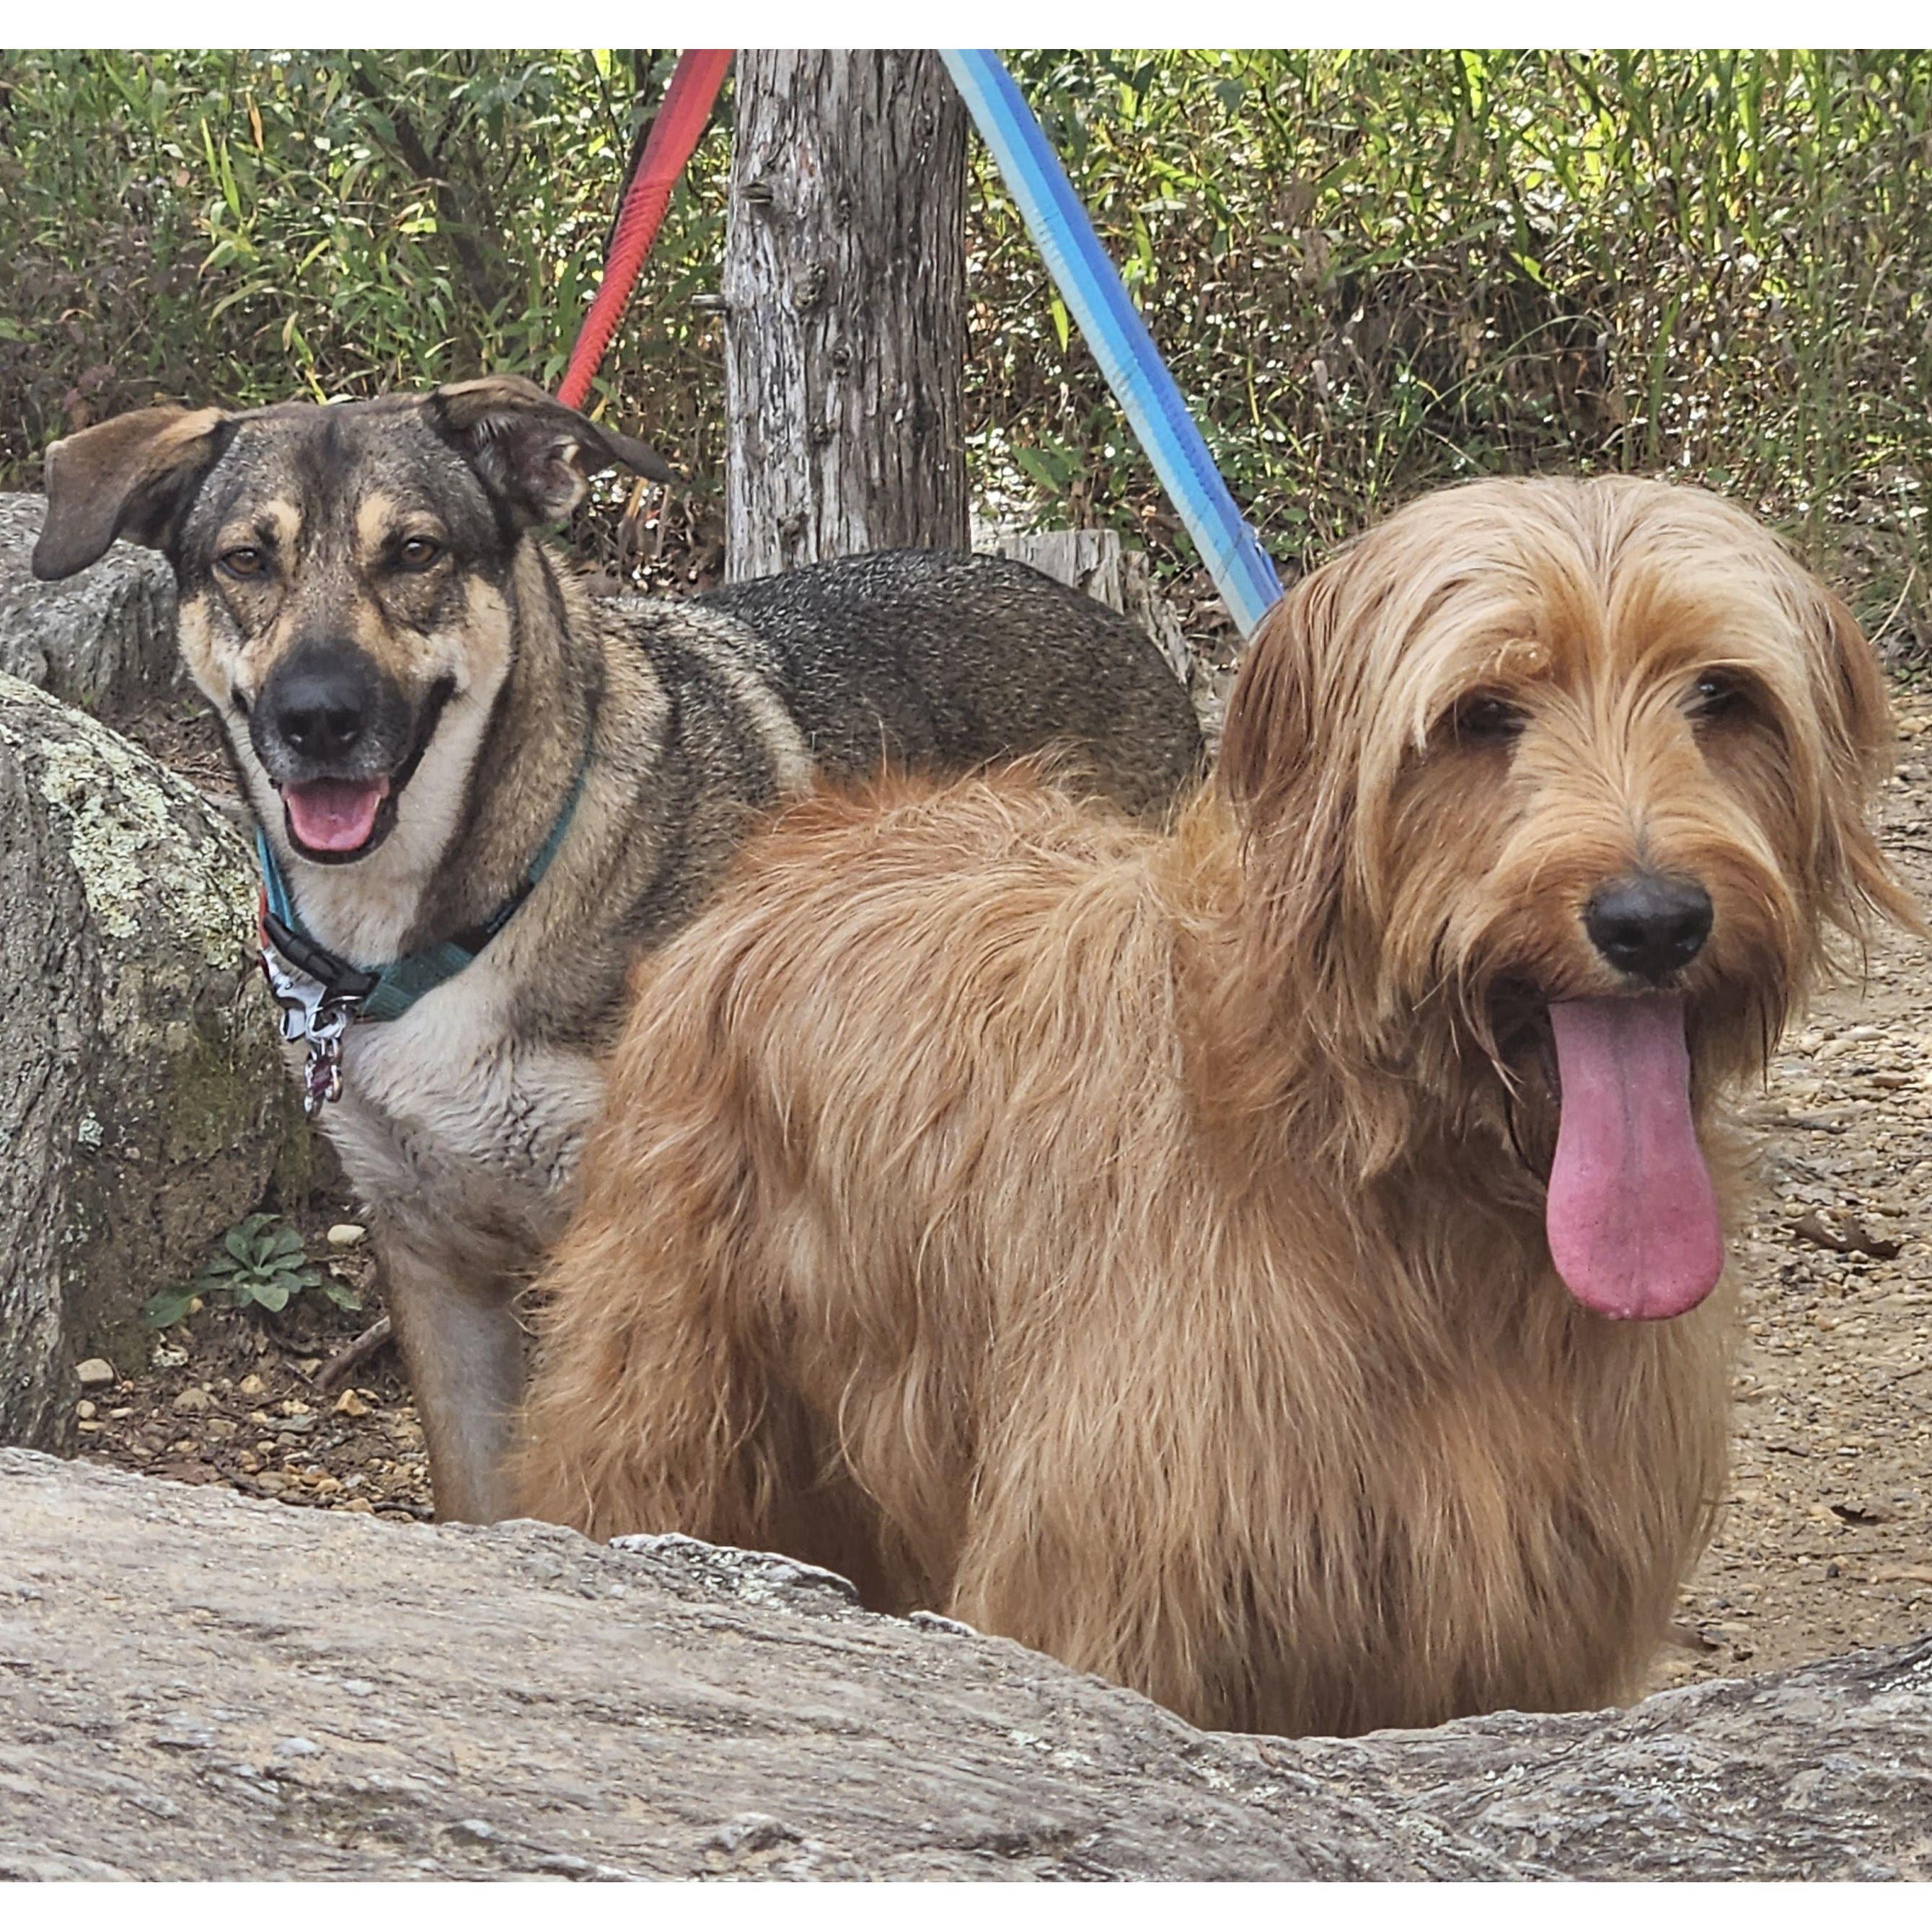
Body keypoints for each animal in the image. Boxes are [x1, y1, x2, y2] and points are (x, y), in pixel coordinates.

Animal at [38, 380, 1197, 1522]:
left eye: (414, 552)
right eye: (245, 559)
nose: (317, 717)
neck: (453, 921)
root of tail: (1117, 627)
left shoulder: (631, 1265)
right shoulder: (432, 1256)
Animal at [513, 479, 1916, 1739]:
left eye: (1721, 695)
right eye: (1479, 712)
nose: (1651, 920)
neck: (1399, 1179)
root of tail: (824, 824)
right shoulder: (1121, 1600)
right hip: (666, 1408)